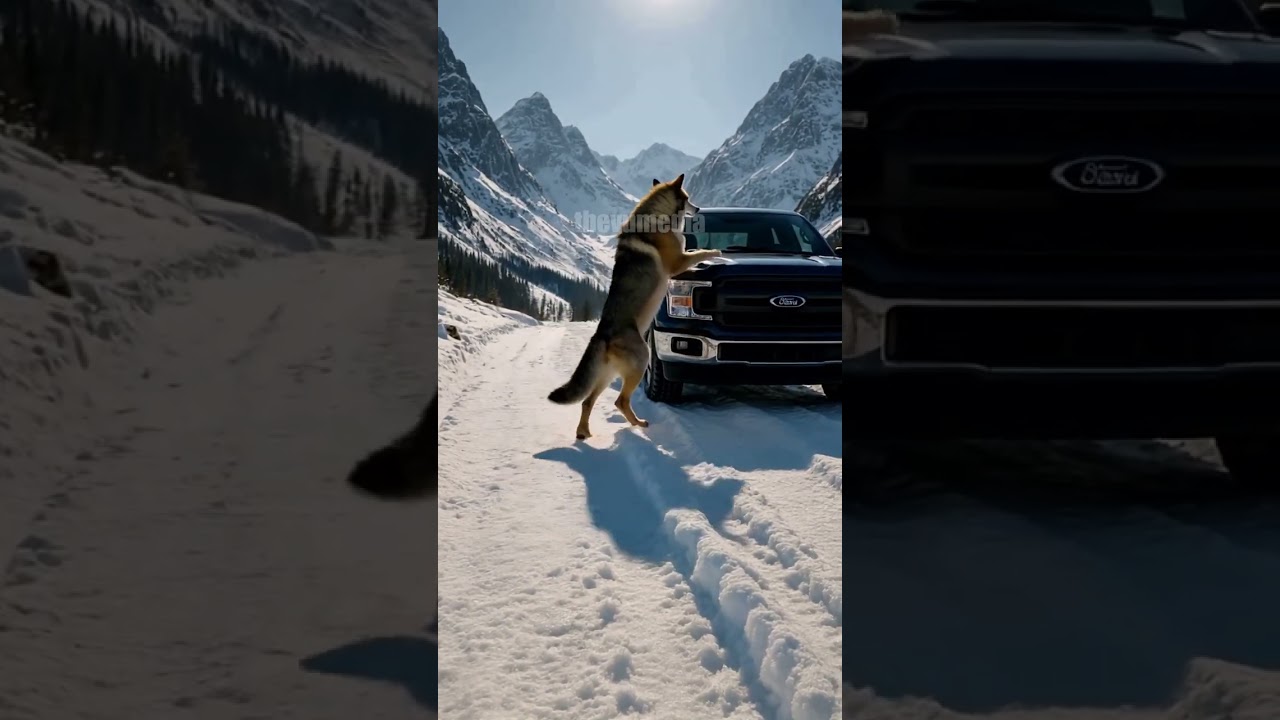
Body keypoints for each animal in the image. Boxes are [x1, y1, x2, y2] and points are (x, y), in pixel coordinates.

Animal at [547, 173, 721, 440]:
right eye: (688, 198)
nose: (699, 208)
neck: (659, 218)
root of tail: (602, 334)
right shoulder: (679, 262)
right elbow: (700, 252)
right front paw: (719, 252)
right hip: (641, 360)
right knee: (619, 401)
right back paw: (637, 424)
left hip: (608, 374)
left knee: (587, 401)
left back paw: (584, 432)